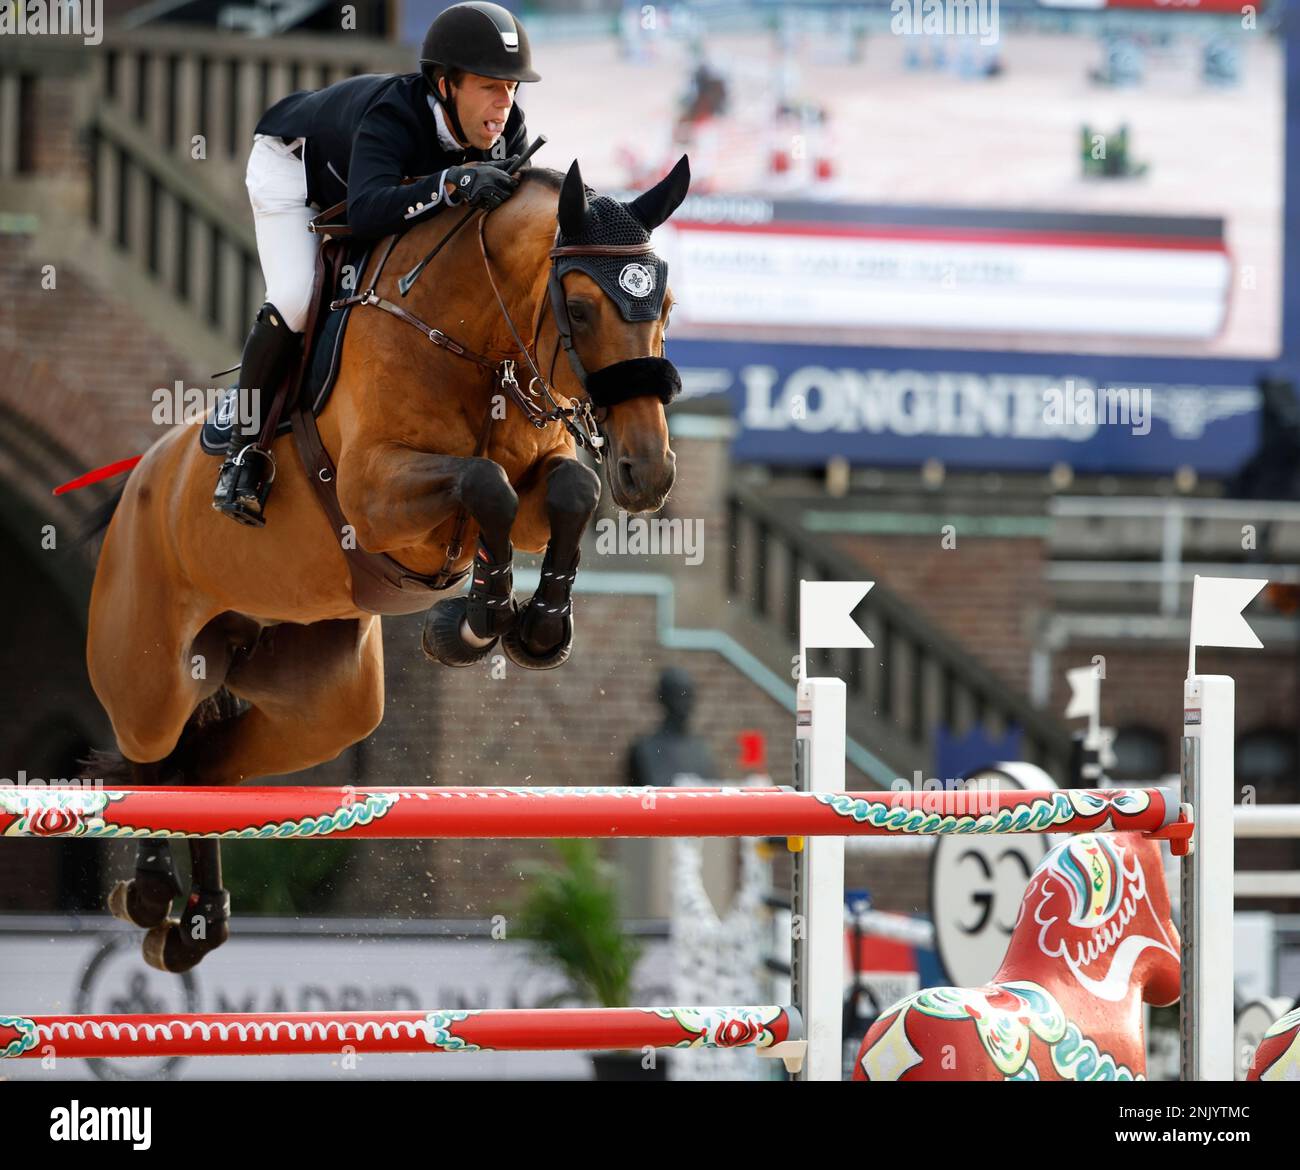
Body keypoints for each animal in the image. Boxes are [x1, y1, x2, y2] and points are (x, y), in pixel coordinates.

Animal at [81, 157, 691, 977]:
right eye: (582, 308)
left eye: (667, 306)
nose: (649, 472)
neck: (472, 338)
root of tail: (137, 483)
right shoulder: (375, 497)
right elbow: (484, 485)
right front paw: (473, 626)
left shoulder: (536, 483)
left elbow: (566, 490)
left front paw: (535, 629)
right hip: (150, 675)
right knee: (154, 754)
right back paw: (151, 896)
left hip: (322, 703)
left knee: (204, 767)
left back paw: (196, 922)